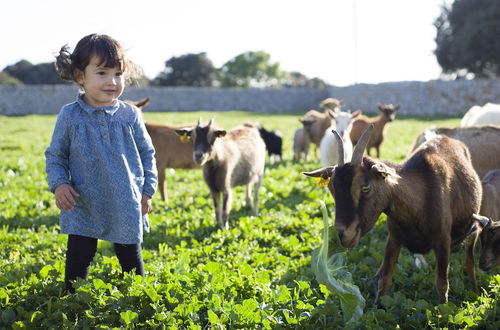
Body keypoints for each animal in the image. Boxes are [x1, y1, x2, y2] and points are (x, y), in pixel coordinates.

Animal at [302, 125, 482, 304]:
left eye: (365, 187)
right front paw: (376, 306)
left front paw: (442, 308)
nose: (342, 235)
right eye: (332, 188)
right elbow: (385, 280)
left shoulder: (443, 241)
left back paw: (476, 290)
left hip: (472, 227)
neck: (420, 199)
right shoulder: (394, 239)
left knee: (470, 260)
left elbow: (442, 284)